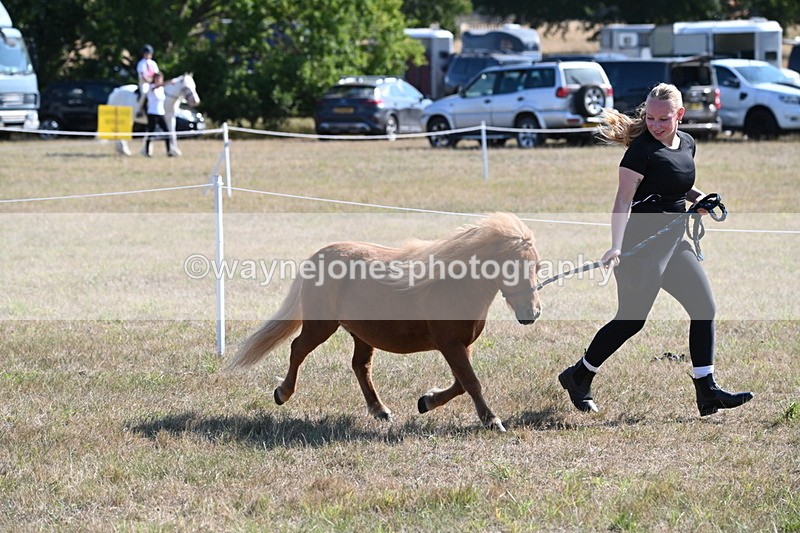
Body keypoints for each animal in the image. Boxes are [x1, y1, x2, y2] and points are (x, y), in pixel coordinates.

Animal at [228, 212, 543, 432]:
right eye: (512, 267)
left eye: (538, 267)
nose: (533, 312)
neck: (455, 285)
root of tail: (317, 257)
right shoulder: (450, 345)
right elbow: (471, 383)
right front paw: (492, 421)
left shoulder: (461, 345)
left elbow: (461, 383)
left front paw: (426, 401)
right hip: (321, 325)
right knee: (298, 349)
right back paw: (282, 393)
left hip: (361, 333)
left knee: (360, 366)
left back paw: (380, 409)